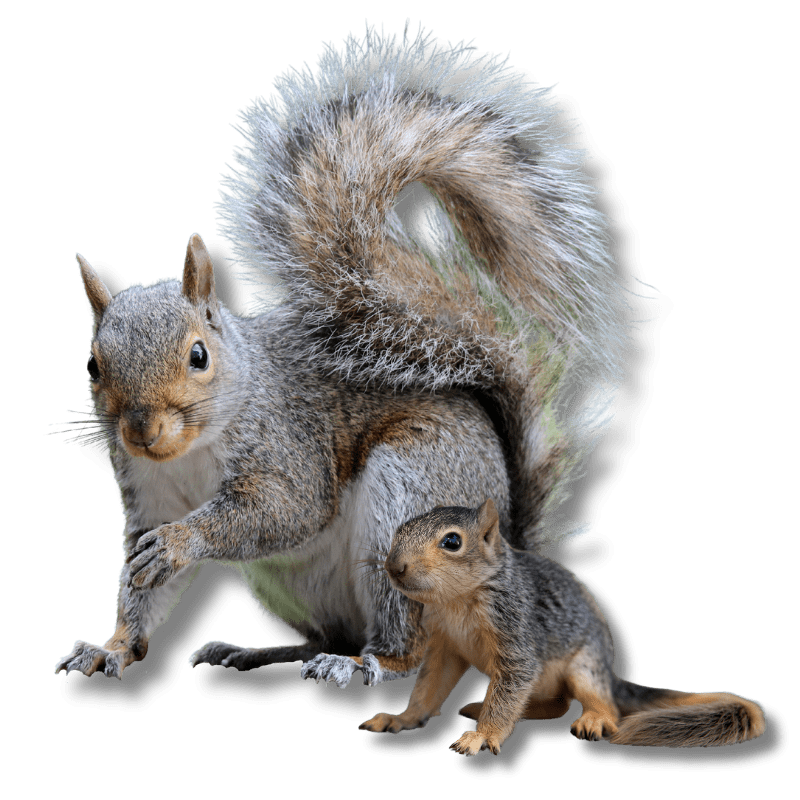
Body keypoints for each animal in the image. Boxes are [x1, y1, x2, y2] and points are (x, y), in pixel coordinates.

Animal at [54, 22, 637, 690]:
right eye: (93, 366)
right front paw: (112, 647)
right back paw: (259, 654)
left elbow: (283, 510)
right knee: (322, 635)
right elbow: (143, 590)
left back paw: (365, 664)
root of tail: (505, 546)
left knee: (410, 647)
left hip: (407, 506)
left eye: (199, 356)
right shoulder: (145, 495)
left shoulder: (287, 443)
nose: (142, 431)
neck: (193, 452)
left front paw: (183, 541)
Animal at [359, 500, 767, 753]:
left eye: (452, 541)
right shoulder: (444, 646)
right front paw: (402, 718)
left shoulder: (516, 636)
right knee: (555, 706)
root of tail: (609, 672)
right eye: (400, 530)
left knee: (598, 705)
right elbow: (429, 689)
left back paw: (595, 719)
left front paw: (483, 737)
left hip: (583, 669)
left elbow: (508, 688)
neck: (456, 601)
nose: (394, 567)